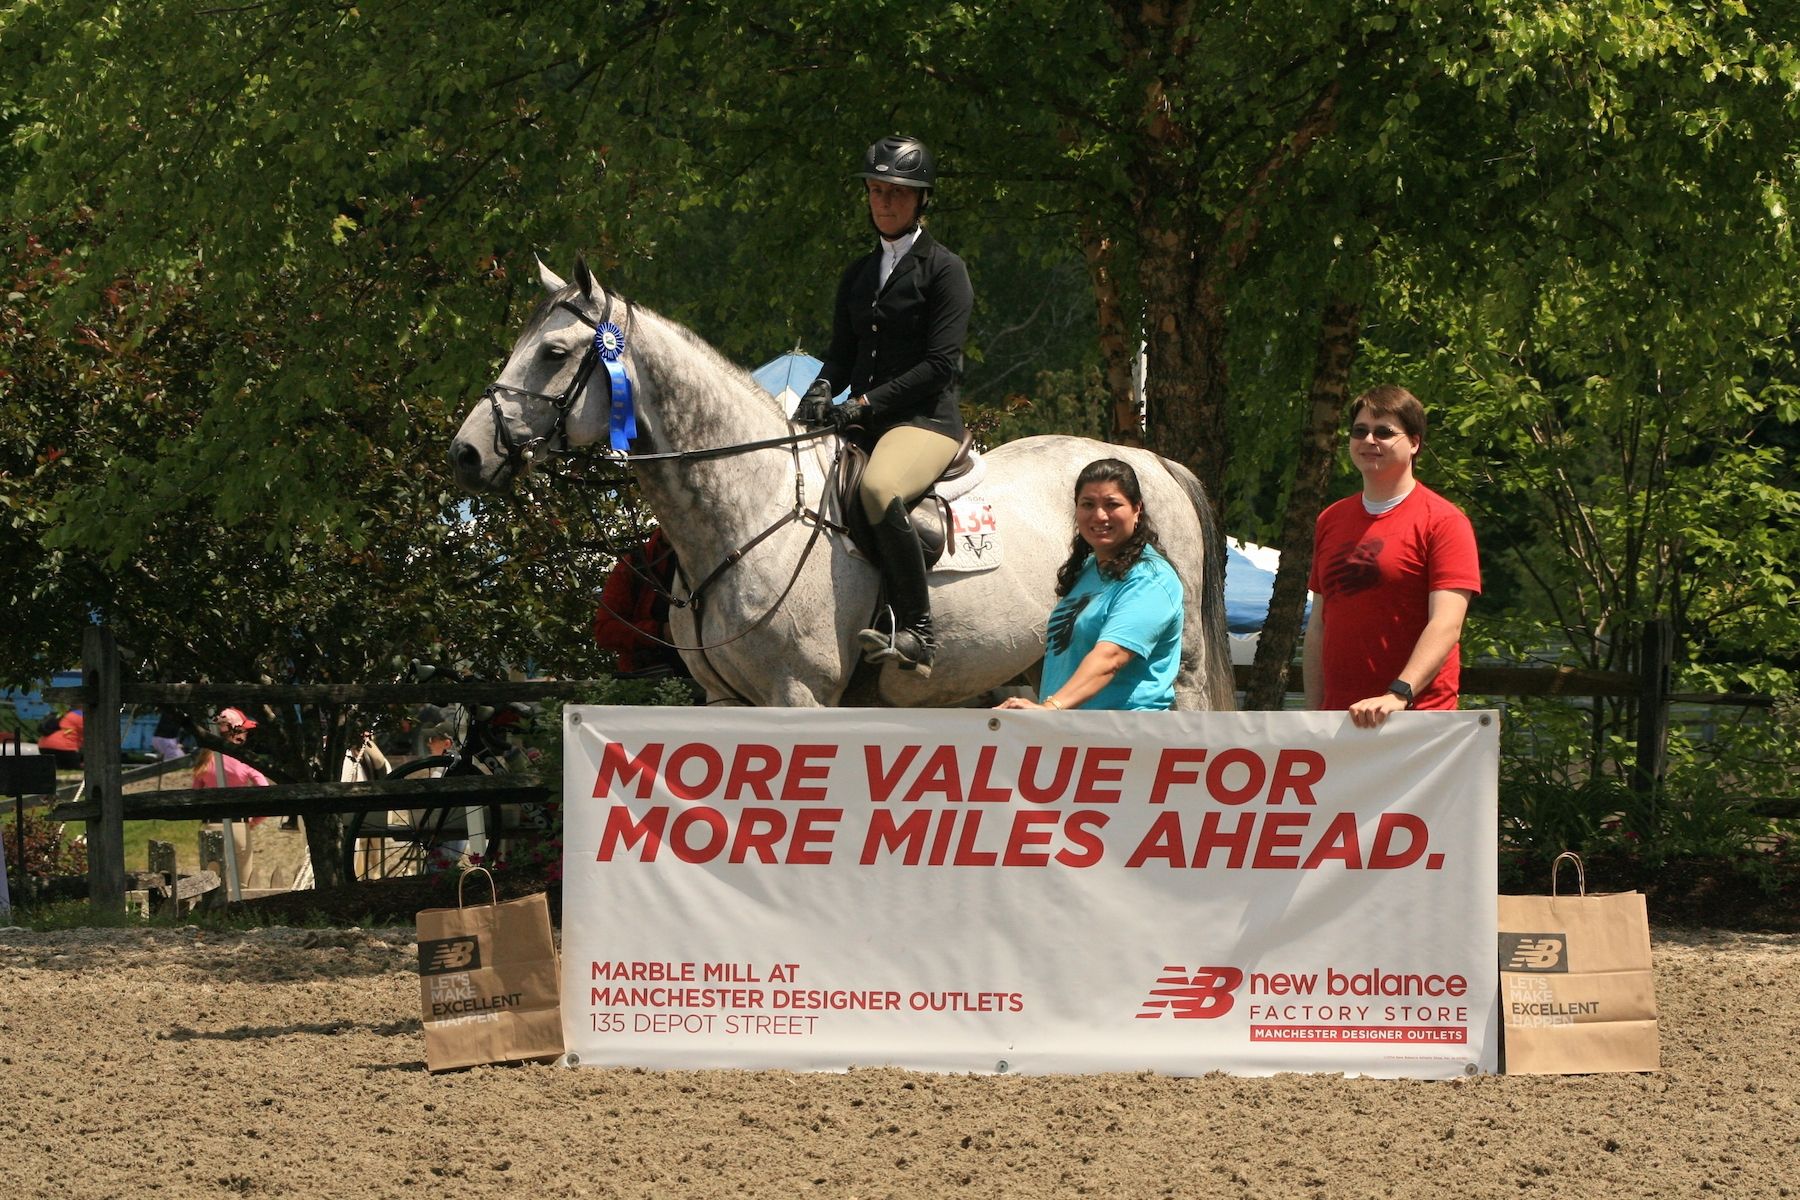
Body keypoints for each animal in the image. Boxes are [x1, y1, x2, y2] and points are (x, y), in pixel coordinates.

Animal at [450, 260, 1238, 712]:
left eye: (554, 353)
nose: (466, 453)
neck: (745, 511)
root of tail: (1148, 460)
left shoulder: (798, 694)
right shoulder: (724, 700)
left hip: (1183, 671)